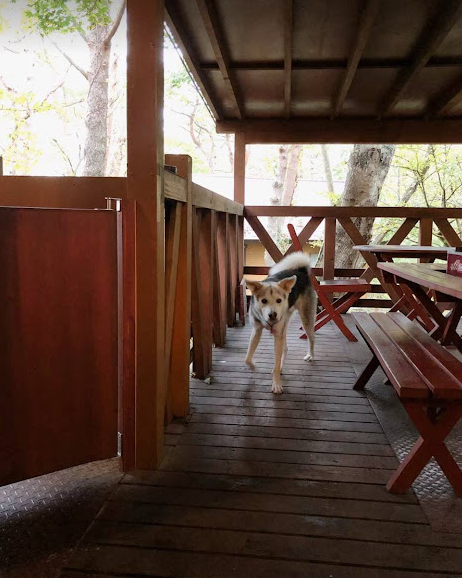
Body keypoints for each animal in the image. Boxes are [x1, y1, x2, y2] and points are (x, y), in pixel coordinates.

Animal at [245, 252, 316, 394]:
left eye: (279, 300)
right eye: (264, 301)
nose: (273, 315)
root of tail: (301, 270)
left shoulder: (277, 334)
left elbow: (276, 365)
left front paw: (276, 384)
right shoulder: (256, 330)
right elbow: (247, 358)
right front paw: (253, 366)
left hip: (306, 319)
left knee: (311, 338)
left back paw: (310, 355)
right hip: (285, 326)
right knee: (285, 348)